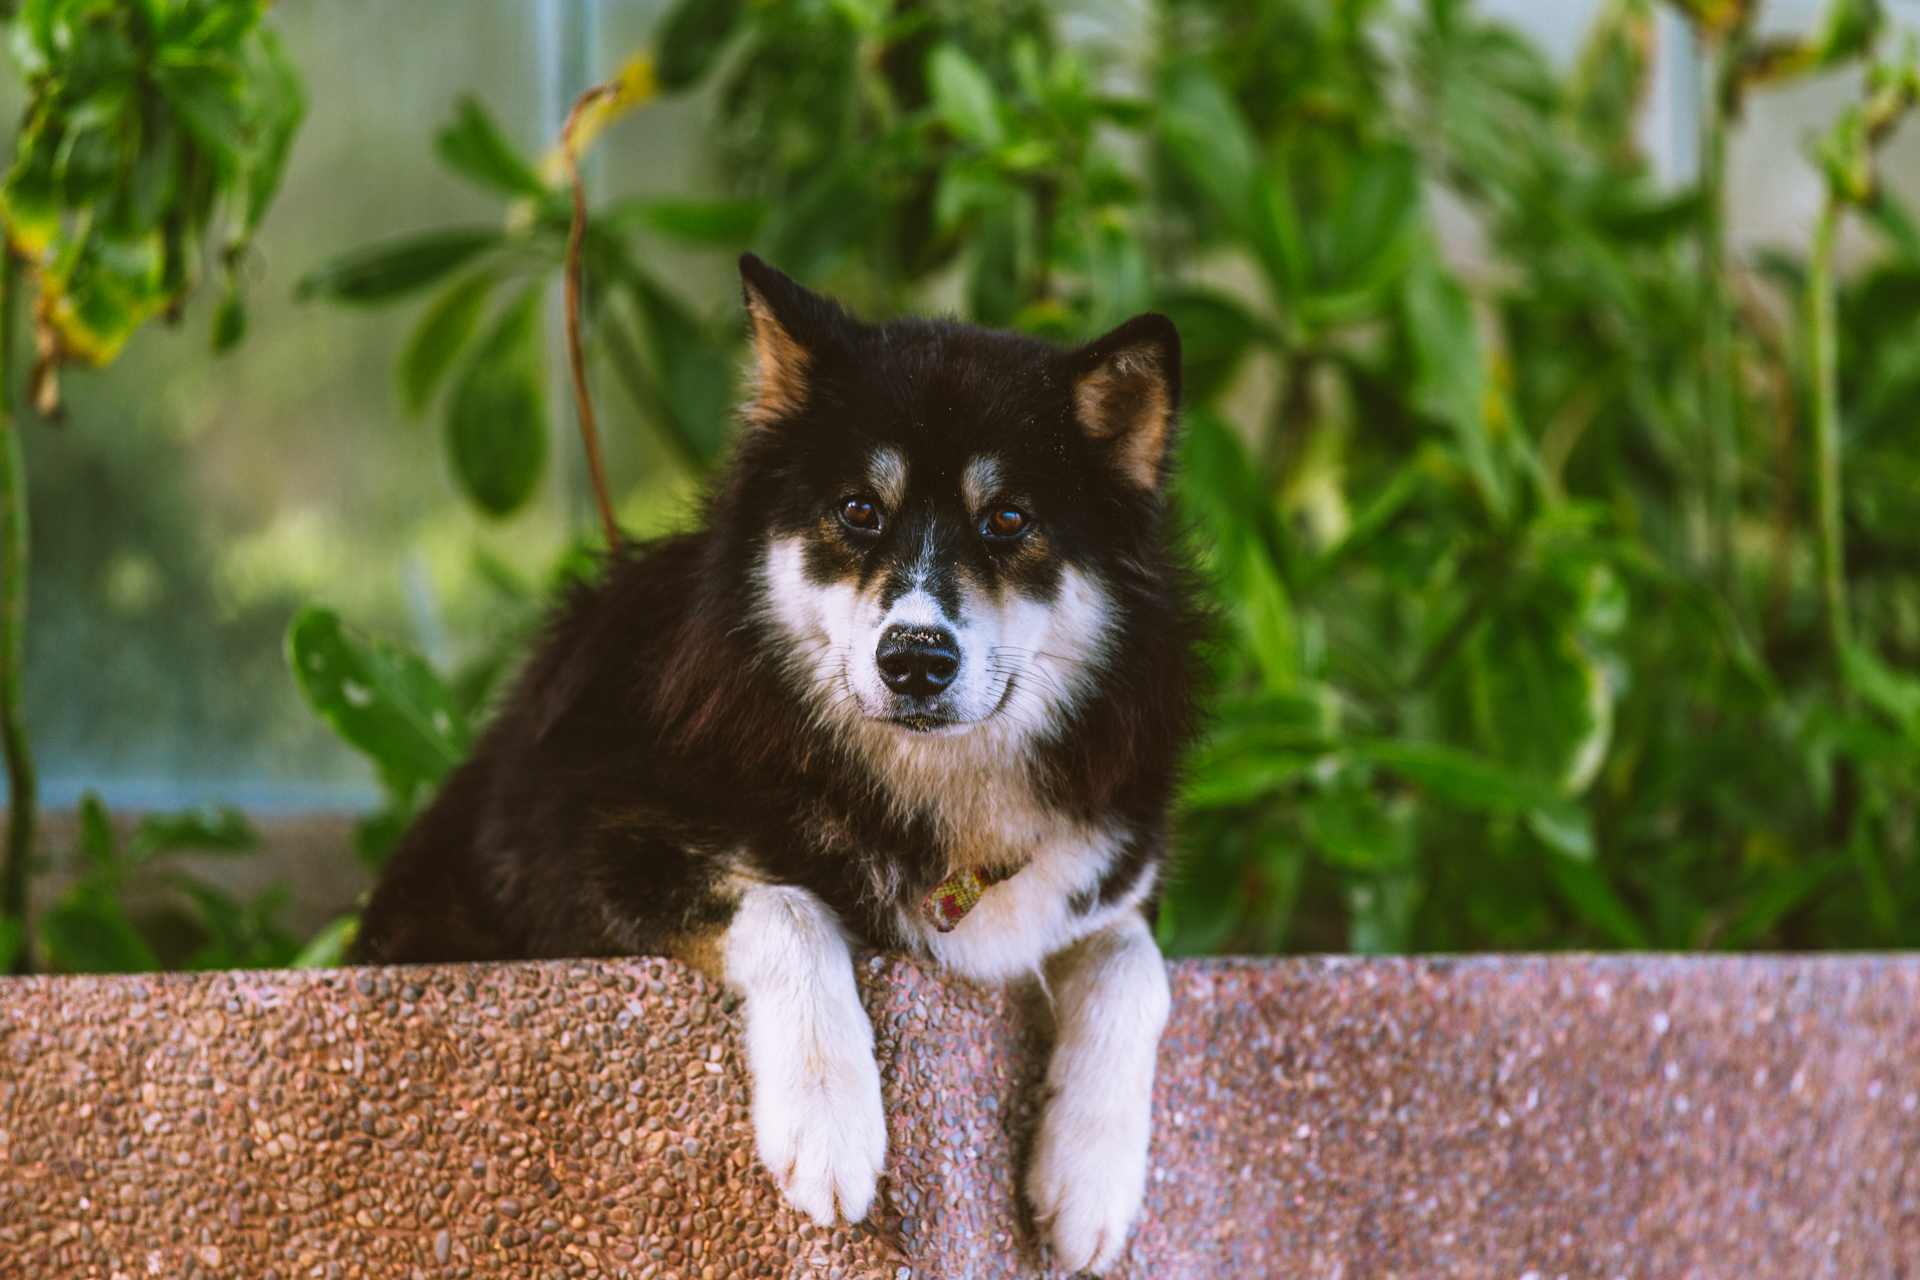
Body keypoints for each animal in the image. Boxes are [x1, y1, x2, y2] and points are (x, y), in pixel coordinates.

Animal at [349, 253, 1198, 1274]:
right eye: (858, 510)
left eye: (1006, 518)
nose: (915, 659)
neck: (929, 792)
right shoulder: (574, 853)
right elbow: (790, 906)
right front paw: (831, 1124)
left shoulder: (1107, 873)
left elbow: (1131, 956)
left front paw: (1092, 1175)